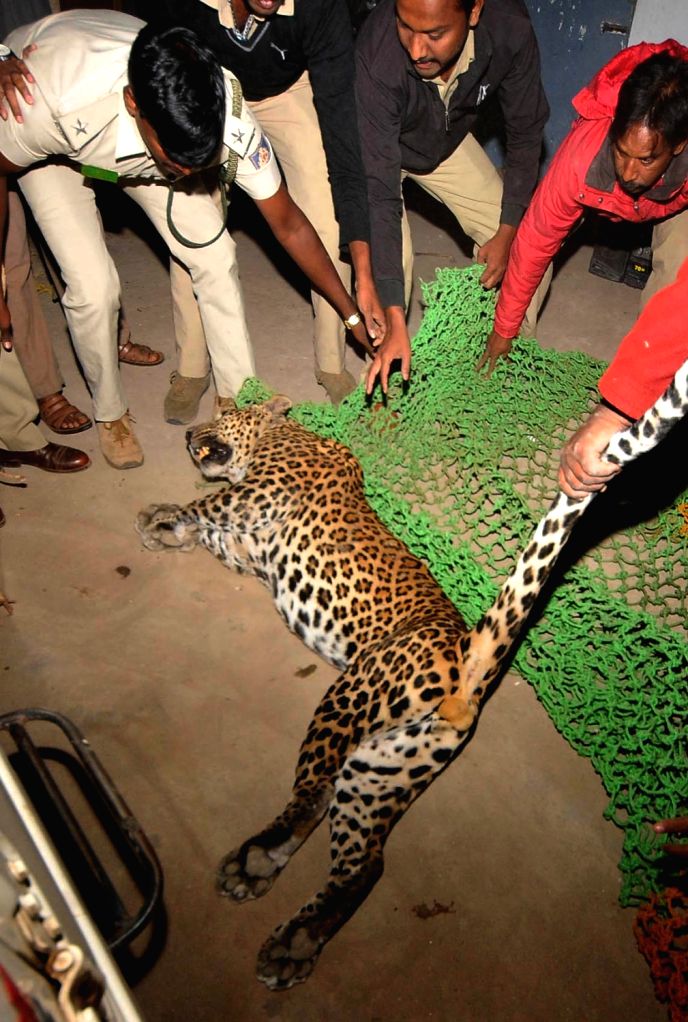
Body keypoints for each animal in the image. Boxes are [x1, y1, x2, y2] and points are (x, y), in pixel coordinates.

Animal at [135, 362, 688, 991]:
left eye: (223, 411)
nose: (188, 432)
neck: (281, 436)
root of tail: (468, 658)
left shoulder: (258, 494)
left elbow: (205, 502)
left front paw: (159, 515)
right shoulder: (246, 543)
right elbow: (204, 525)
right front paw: (163, 527)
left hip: (351, 694)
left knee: (313, 795)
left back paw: (257, 863)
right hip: (382, 768)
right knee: (364, 863)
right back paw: (292, 940)